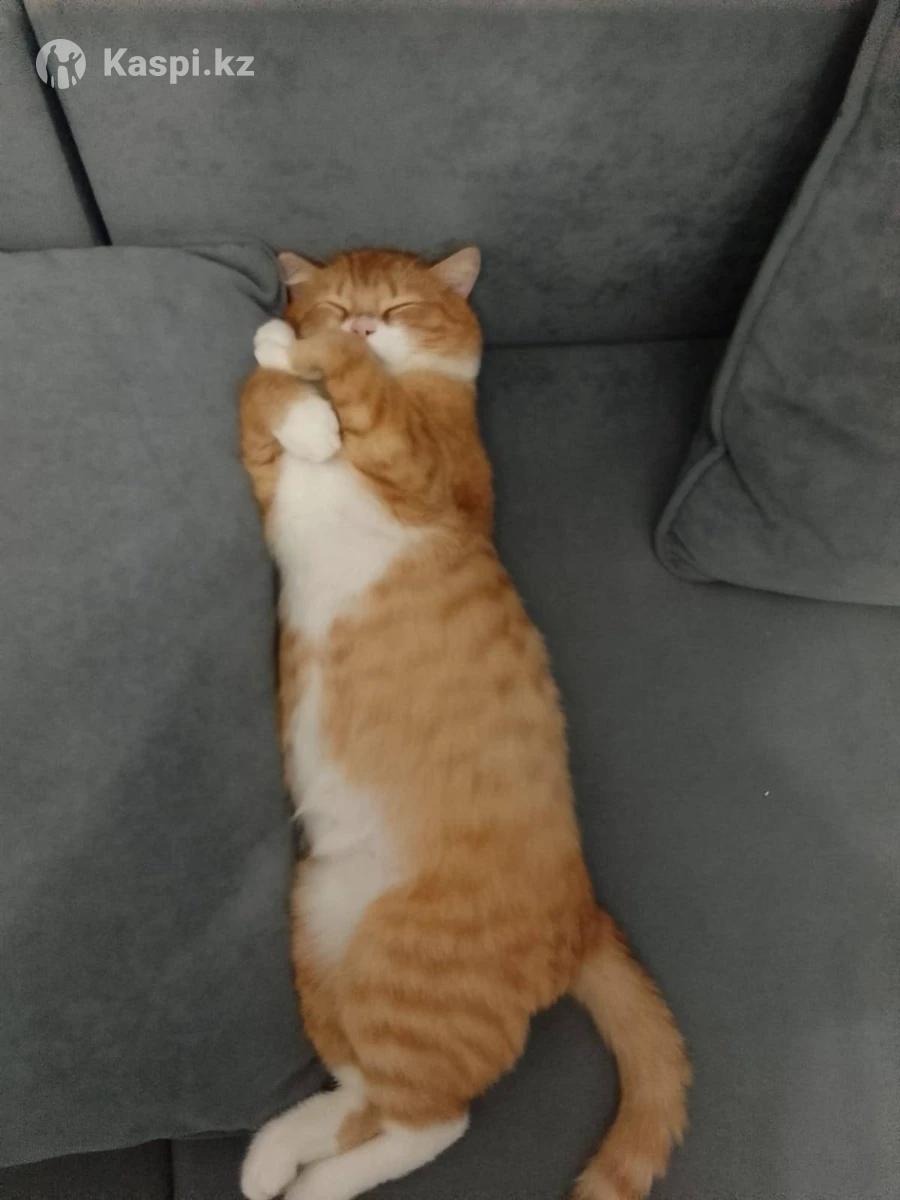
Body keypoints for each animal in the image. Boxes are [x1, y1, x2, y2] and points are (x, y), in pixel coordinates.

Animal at [238, 246, 690, 1200]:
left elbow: (352, 384)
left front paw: (299, 354)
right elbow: (259, 399)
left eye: (400, 306)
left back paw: (314, 1185)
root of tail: (587, 914)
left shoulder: (424, 463)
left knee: (436, 1120)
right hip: (324, 929)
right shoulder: (264, 473)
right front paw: (296, 382)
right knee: (366, 1094)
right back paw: (273, 1162)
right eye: (335, 297)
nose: (360, 321)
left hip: (411, 977)